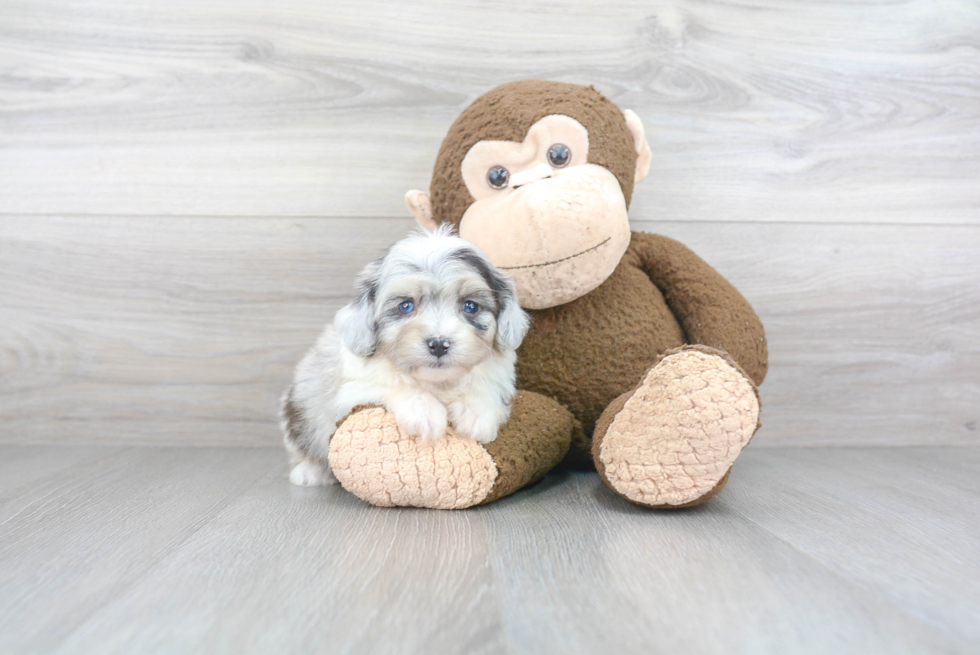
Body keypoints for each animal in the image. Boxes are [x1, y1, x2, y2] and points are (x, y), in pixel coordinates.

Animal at [280, 226, 532, 486]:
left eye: (470, 306)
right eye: (406, 306)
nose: (439, 344)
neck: (437, 382)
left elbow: (481, 387)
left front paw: (477, 414)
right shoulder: (352, 389)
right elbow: (396, 386)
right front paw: (425, 414)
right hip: (299, 411)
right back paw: (310, 471)